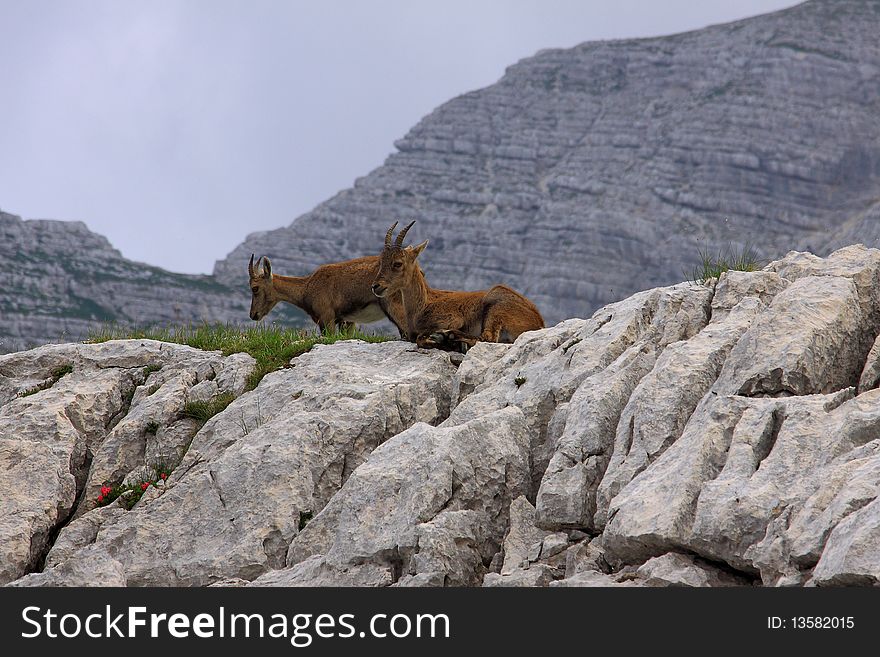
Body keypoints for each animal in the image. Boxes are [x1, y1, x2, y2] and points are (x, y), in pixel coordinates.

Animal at [370, 222, 544, 348]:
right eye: (381, 261)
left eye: (398, 263)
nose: (376, 286)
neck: (423, 304)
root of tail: (538, 321)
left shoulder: (452, 319)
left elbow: (420, 338)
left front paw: (437, 339)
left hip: (496, 306)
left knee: (487, 337)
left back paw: (450, 338)